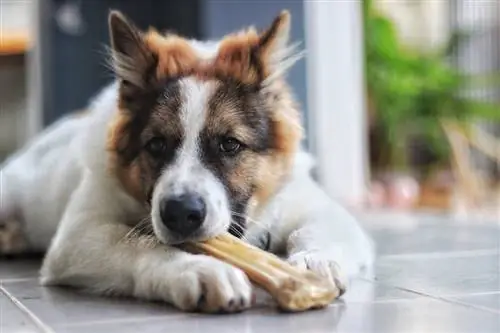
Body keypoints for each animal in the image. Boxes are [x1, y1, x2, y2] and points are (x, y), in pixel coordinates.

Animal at [0, 9, 374, 312]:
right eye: (156, 145)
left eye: (229, 144)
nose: (181, 214)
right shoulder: (78, 235)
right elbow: (141, 243)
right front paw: (197, 270)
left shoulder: (315, 207)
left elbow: (318, 229)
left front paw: (312, 265)